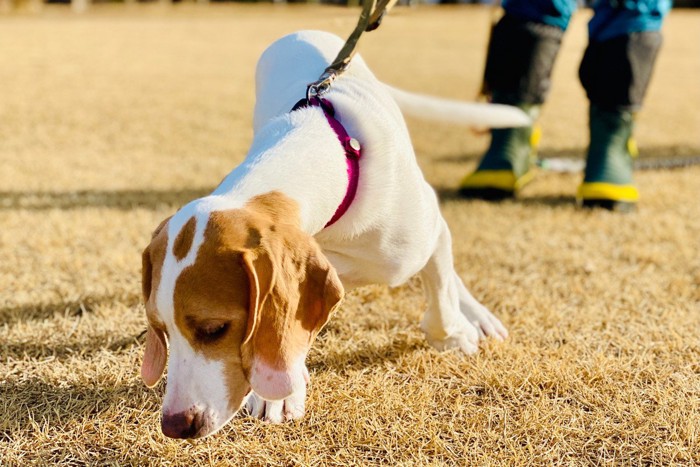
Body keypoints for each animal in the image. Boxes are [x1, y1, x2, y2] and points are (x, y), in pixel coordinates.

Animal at [141, 31, 524, 440]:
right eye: (160, 328)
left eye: (215, 329)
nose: (174, 425)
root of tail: (302, 33)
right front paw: (279, 395)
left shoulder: (421, 235)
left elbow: (440, 295)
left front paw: (452, 334)